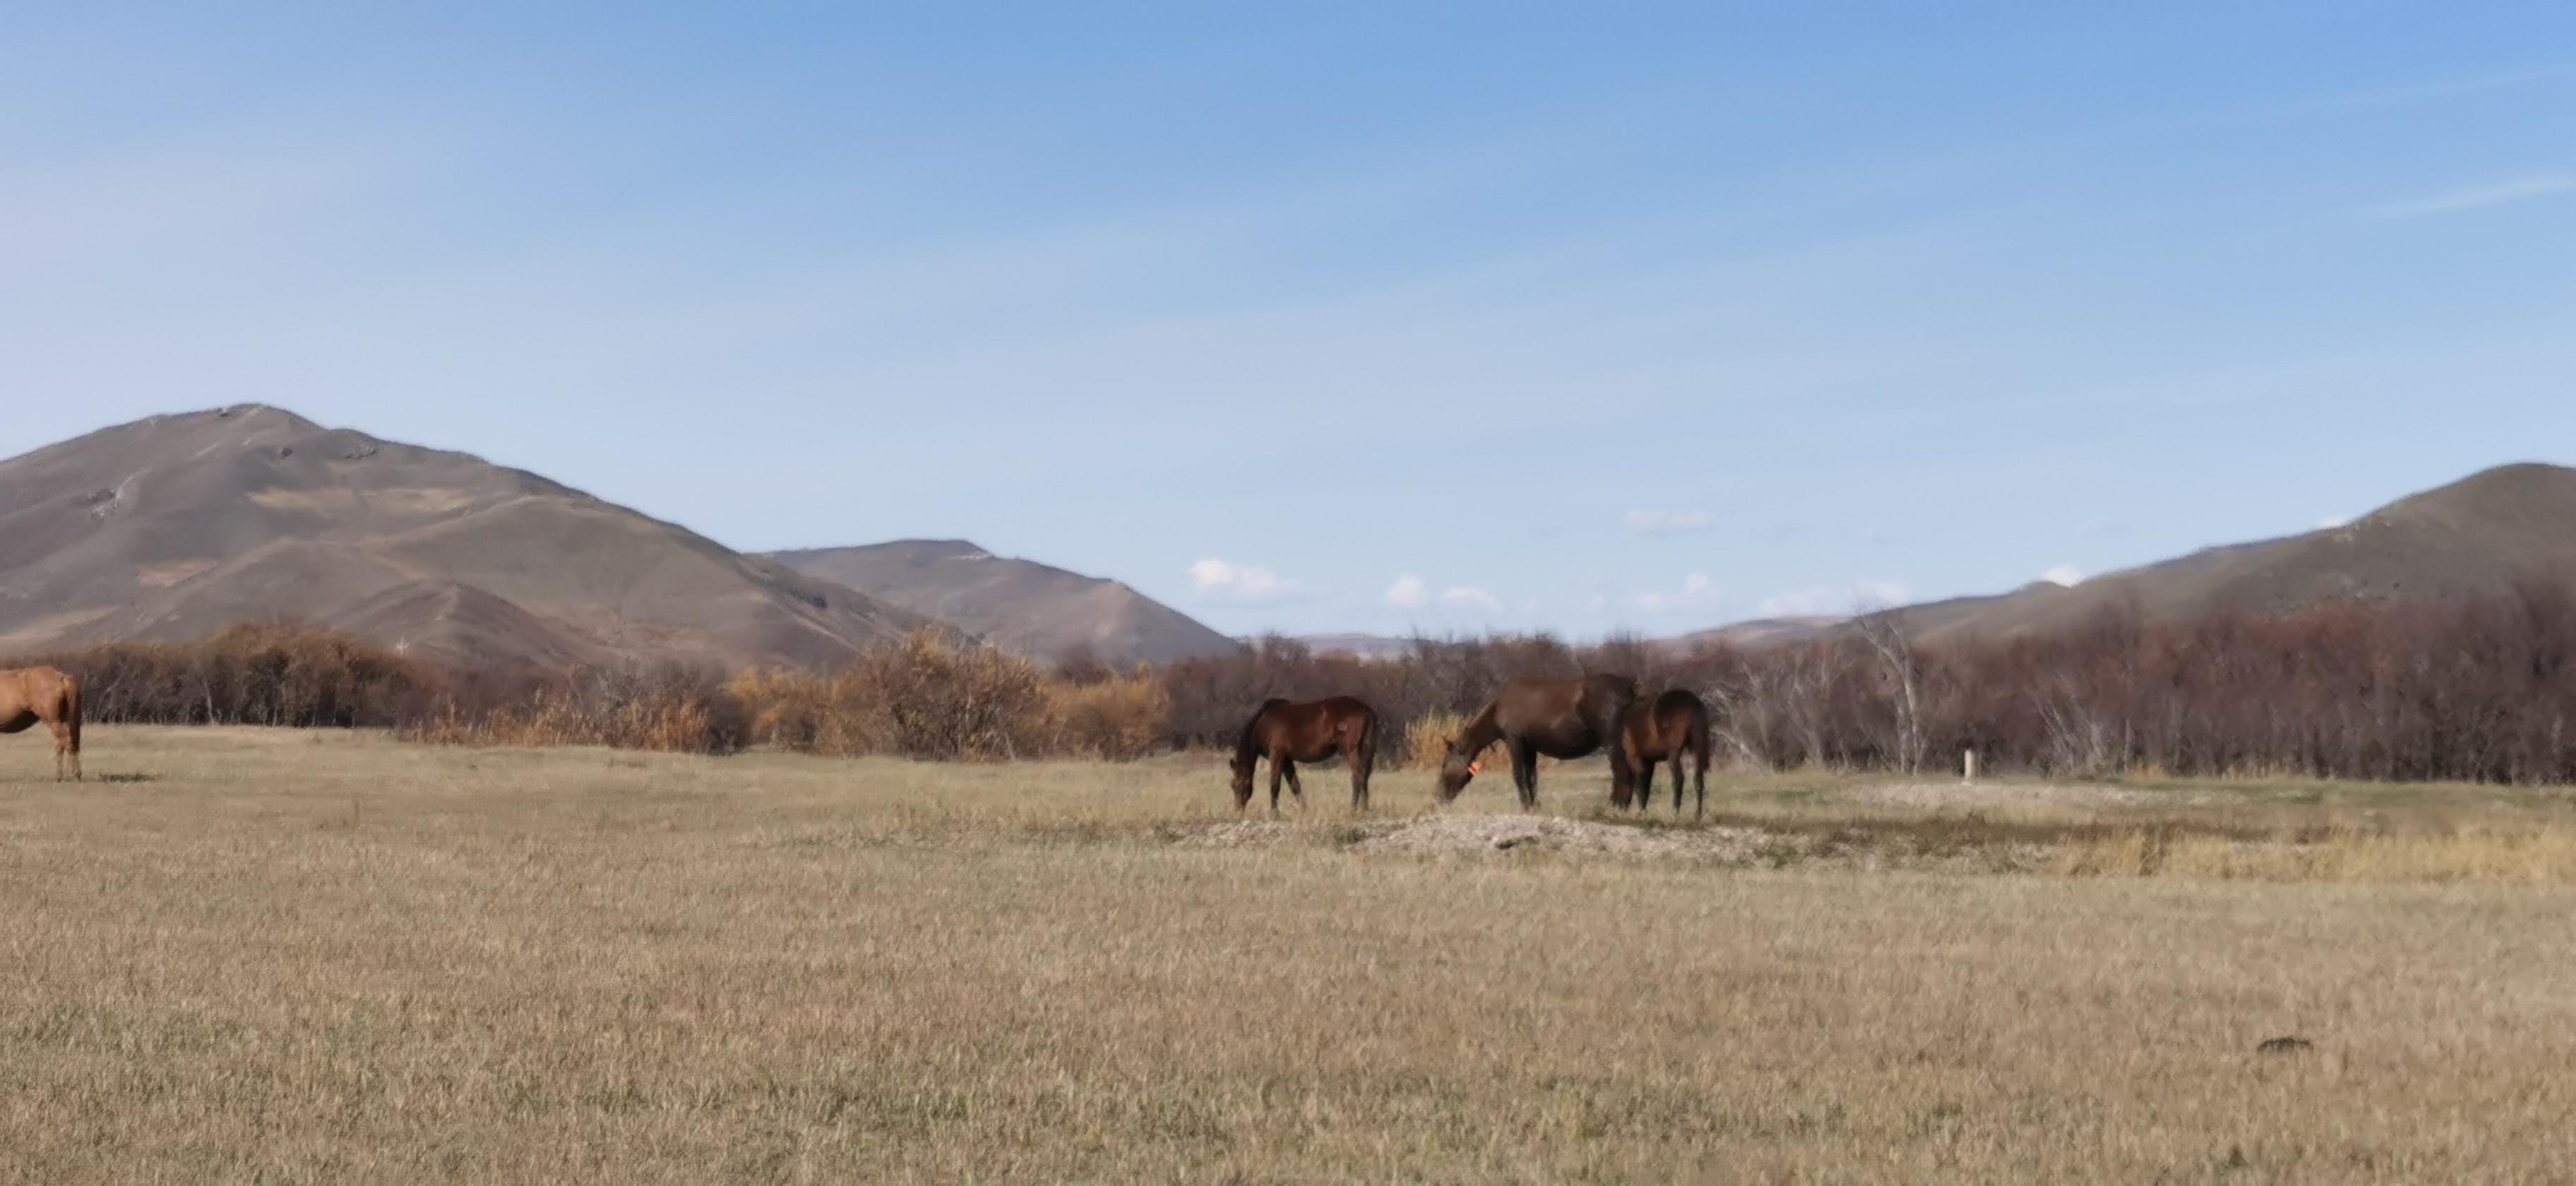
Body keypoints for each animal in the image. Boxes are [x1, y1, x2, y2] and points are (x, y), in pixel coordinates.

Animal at [0, 667, 82, 781]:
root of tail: (62, 677)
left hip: (54, 721)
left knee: (67, 741)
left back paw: (76, 774)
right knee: (61, 744)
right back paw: (59, 776)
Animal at [1231, 696, 1381, 812]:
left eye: (1239, 784)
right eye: (1232, 786)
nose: (1238, 810)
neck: (1263, 724)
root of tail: (1365, 709)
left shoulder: (1277, 755)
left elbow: (1275, 785)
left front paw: (1275, 814)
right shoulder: (1287, 760)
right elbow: (1295, 786)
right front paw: (1304, 810)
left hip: (1350, 751)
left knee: (1357, 776)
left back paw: (1353, 809)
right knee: (1364, 776)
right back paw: (1365, 809)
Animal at [1437, 674, 1640, 810]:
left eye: (1445, 764)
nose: (1439, 797)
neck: (1497, 710)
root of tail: (1633, 688)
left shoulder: (1515, 742)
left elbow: (1518, 775)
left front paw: (1525, 806)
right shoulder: (1530, 748)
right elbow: (1532, 777)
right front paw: (1534, 805)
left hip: (1612, 741)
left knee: (1622, 772)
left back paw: (1616, 806)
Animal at [1622, 689, 1712, 817]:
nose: (1623, 807)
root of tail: (1692, 705)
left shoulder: (1635, 757)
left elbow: (1640, 784)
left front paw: (1642, 812)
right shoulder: (1650, 761)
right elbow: (1646, 785)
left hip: (1674, 754)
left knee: (1679, 779)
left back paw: (1675, 811)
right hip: (1698, 748)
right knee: (1698, 780)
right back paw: (1697, 814)